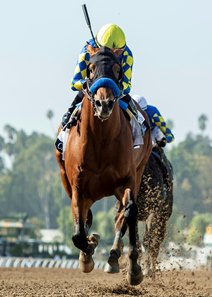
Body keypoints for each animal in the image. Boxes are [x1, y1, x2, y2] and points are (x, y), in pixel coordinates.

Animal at [56, 45, 152, 284]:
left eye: (118, 69)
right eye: (90, 68)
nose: (104, 103)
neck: (100, 140)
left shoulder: (127, 180)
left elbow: (129, 212)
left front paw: (134, 268)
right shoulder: (78, 187)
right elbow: (78, 232)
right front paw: (88, 250)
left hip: (137, 173)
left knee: (122, 216)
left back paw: (115, 258)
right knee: (86, 216)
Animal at [137, 145, 173, 276]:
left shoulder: (154, 211)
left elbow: (148, 242)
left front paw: (146, 270)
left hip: (163, 221)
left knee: (155, 244)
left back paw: (151, 271)